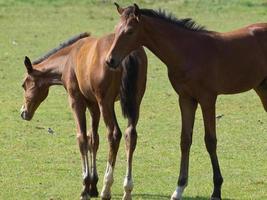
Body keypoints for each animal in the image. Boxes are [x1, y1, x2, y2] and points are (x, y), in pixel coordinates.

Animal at [19, 32, 148, 200]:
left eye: (24, 84)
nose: (23, 112)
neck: (69, 59)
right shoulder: (93, 105)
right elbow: (93, 139)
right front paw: (93, 185)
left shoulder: (76, 101)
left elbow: (82, 138)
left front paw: (85, 186)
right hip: (134, 103)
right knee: (130, 135)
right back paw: (127, 189)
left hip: (106, 103)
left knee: (114, 134)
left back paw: (107, 188)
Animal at [105, 2, 267, 200]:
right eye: (115, 29)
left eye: (129, 31)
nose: (110, 60)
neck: (188, 52)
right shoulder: (186, 99)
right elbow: (185, 140)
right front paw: (179, 188)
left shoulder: (207, 99)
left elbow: (210, 141)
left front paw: (216, 190)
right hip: (262, 88)